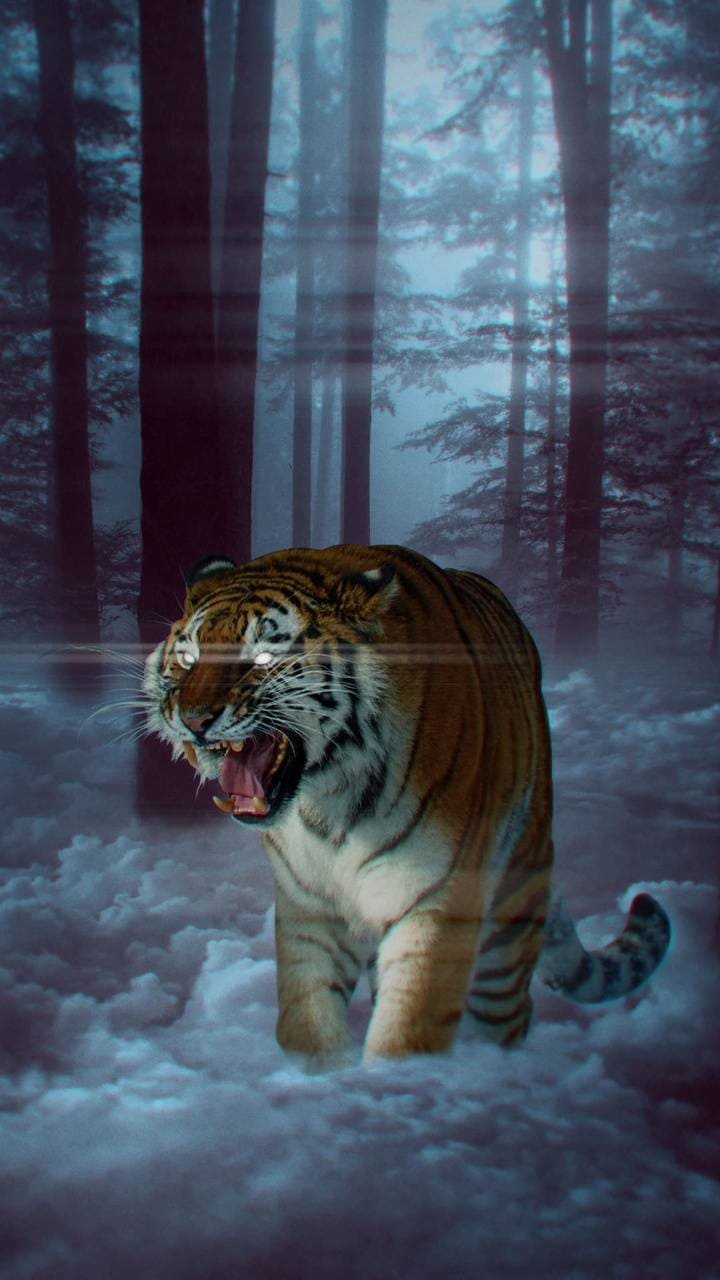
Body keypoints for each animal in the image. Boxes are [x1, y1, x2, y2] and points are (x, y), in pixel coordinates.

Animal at [143, 543, 671, 1064]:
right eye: (188, 657)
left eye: (264, 656)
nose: (193, 720)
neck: (327, 799)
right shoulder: (308, 903)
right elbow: (305, 1019)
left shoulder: (439, 897)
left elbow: (411, 1027)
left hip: (509, 917)